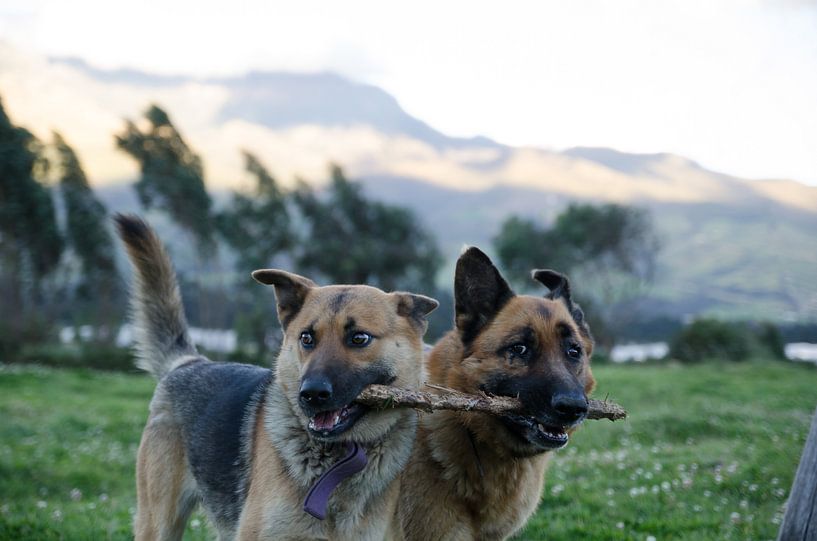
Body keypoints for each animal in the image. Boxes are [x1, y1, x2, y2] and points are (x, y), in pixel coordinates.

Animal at [116, 215, 440, 540]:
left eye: (359, 338)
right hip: (159, 522)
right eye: (307, 338)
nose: (311, 394)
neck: (341, 456)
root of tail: (189, 363)